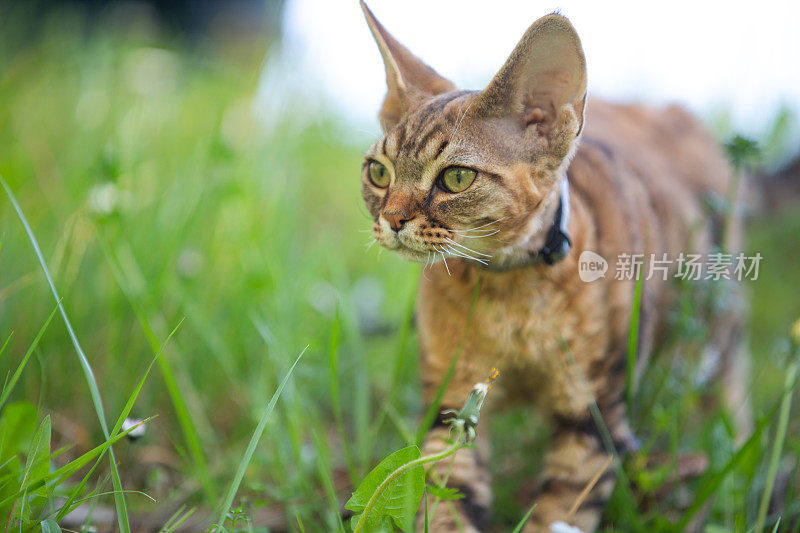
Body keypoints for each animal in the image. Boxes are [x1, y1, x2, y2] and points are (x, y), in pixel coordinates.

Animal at [356, 3, 752, 528]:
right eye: (378, 172)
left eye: (456, 178)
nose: (392, 219)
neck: (508, 296)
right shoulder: (453, 404)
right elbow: (446, 499)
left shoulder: (594, 416)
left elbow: (562, 512)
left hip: (716, 318)